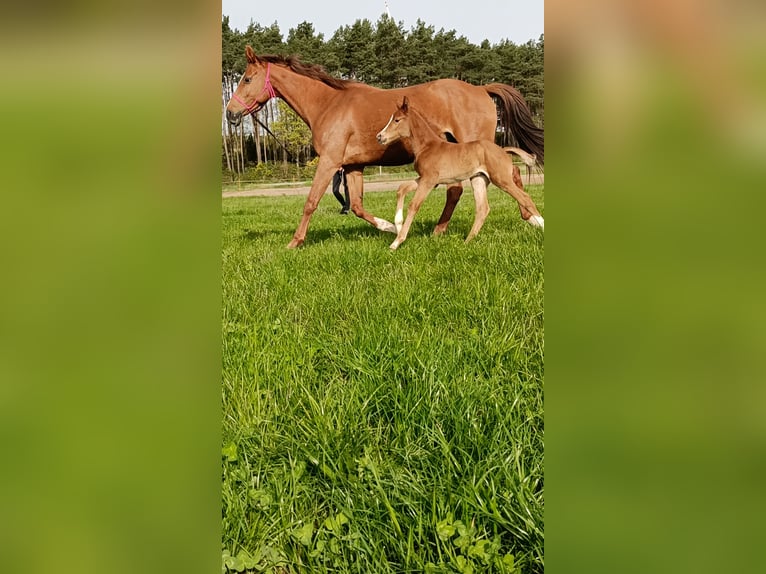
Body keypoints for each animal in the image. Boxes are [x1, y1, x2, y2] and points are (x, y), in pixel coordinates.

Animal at [376, 98, 544, 251]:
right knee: (483, 208)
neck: (427, 146)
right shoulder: (426, 179)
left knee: (524, 198)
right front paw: (397, 225)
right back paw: (467, 242)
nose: (379, 137)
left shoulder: (429, 181)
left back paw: (541, 225)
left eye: (397, 120)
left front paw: (396, 242)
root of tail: (503, 150)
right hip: (478, 179)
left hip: (501, 179)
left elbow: (414, 205)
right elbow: (401, 188)